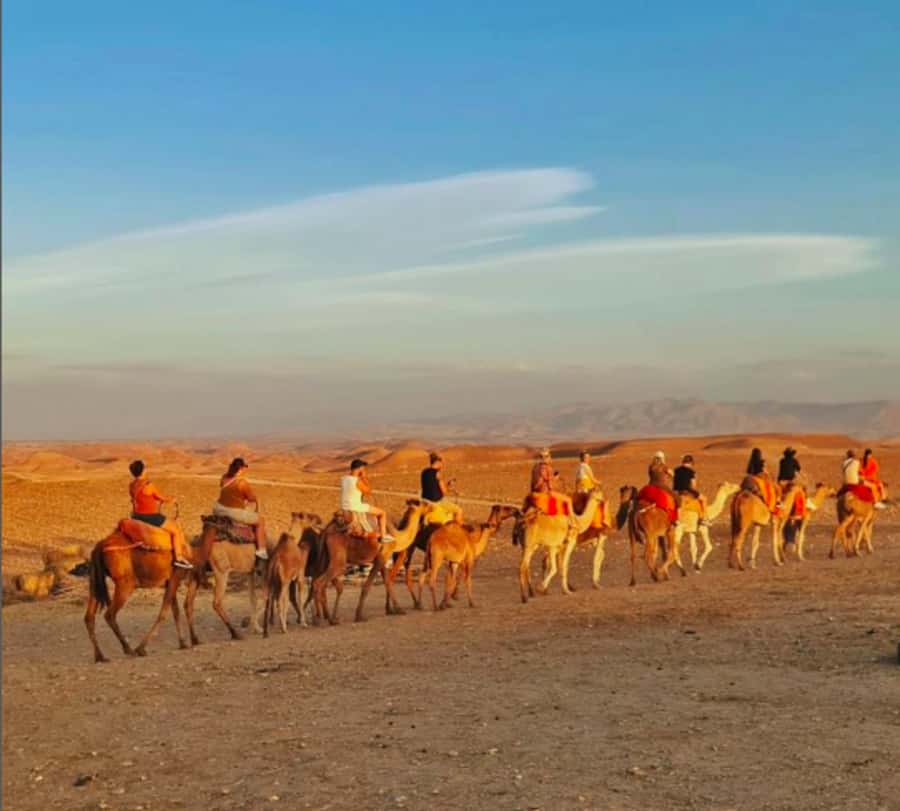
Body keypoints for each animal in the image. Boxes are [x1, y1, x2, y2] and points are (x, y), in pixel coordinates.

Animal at [84, 521, 193, 663]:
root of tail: (100, 546)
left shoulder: (170, 582)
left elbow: (175, 611)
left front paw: (183, 643)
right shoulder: (175, 578)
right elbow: (163, 613)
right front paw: (141, 648)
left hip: (95, 580)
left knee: (89, 617)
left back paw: (100, 656)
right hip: (125, 584)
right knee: (109, 615)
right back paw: (128, 650)